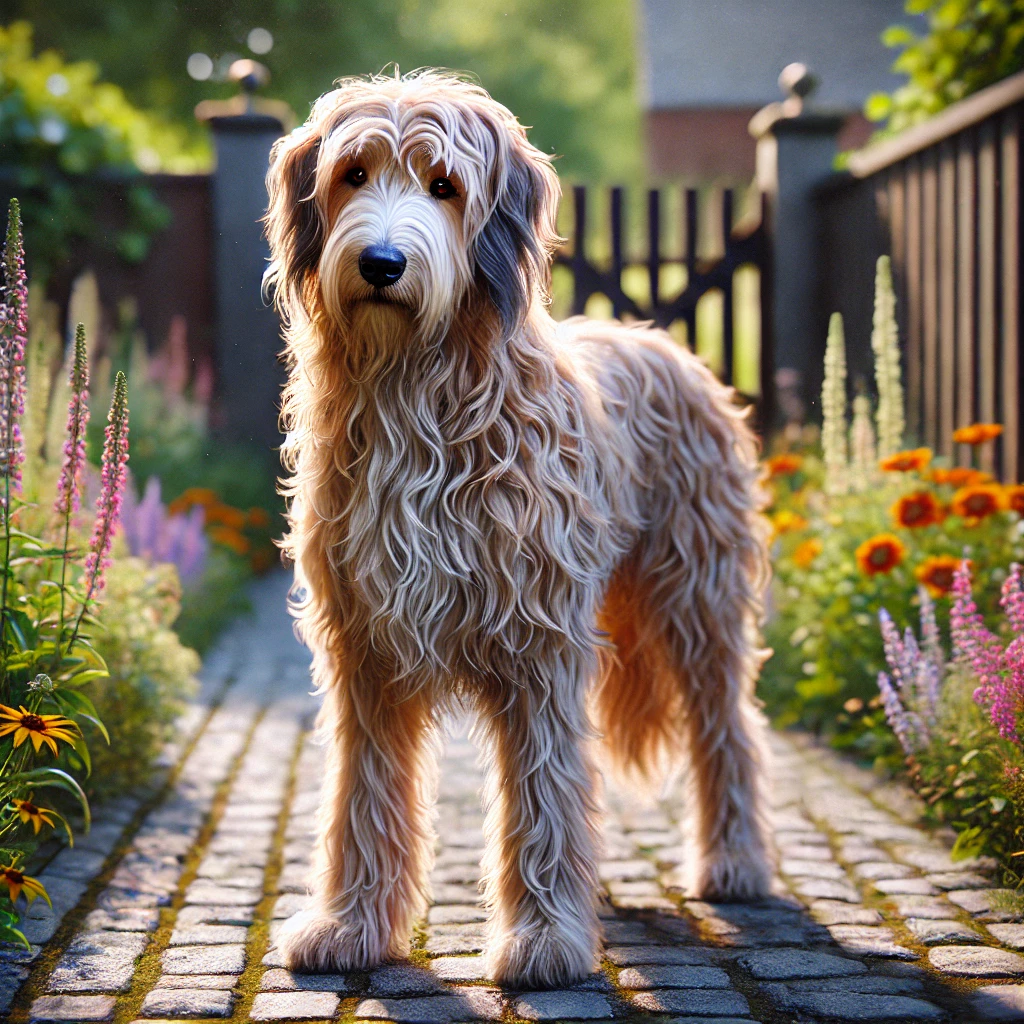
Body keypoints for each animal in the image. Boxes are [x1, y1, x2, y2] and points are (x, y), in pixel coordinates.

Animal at [262, 72, 770, 991]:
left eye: (444, 185)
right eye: (354, 173)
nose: (381, 264)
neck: (416, 391)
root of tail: (668, 346)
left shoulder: (540, 646)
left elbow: (541, 792)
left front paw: (543, 939)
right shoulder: (365, 650)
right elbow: (363, 794)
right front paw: (350, 925)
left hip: (698, 601)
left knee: (728, 731)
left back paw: (735, 862)